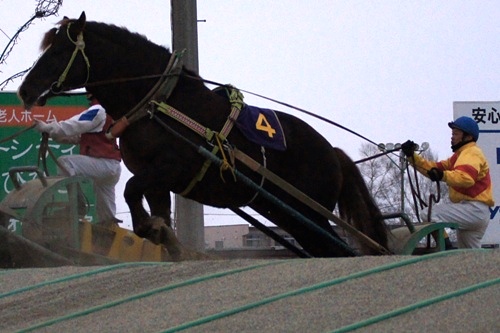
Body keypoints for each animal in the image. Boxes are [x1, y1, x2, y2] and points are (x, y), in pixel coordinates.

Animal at [17, 11, 388, 256]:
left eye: (59, 51)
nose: (25, 89)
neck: (160, 102)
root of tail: (333, 153)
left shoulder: (169, 168)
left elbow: (132, 191)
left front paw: (152, 228)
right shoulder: (158, 182)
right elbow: (149, 209)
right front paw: (162, 234)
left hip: (310, 212)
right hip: (291, 215)